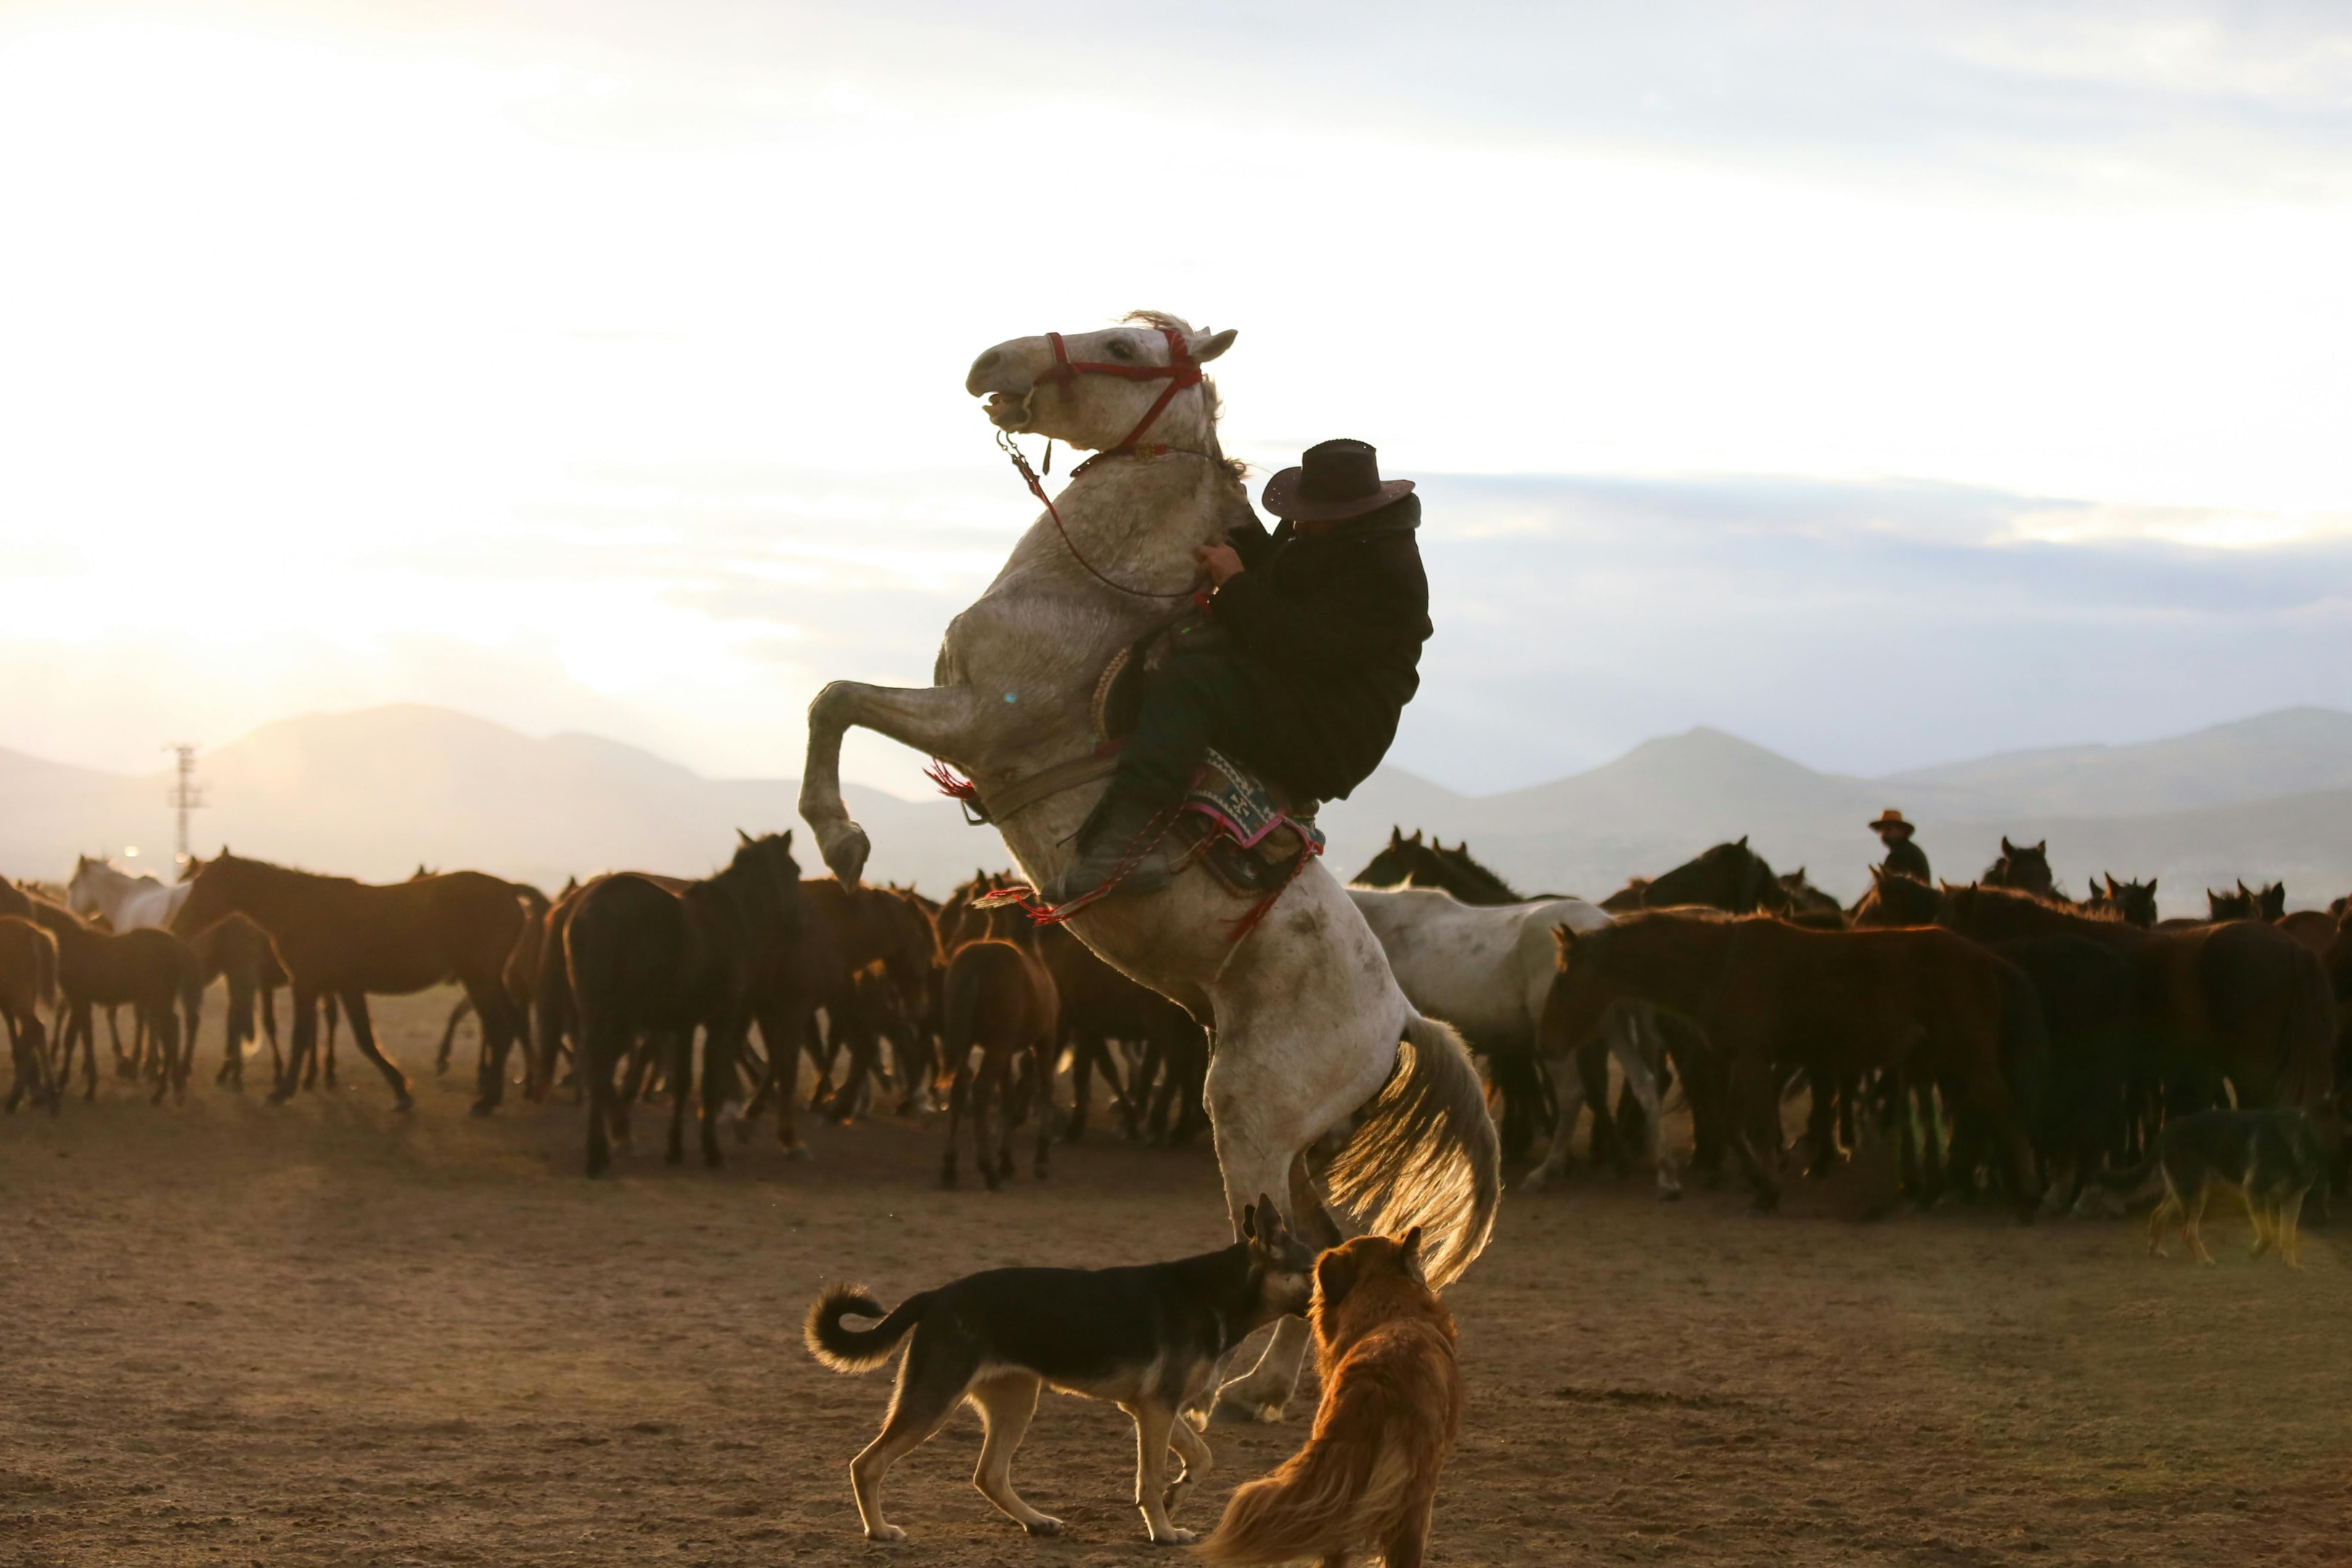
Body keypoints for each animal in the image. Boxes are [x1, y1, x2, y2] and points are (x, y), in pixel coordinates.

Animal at [174, 851, 532, 1113]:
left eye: (202, 886)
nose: (177, 927)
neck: (302, 909)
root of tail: (510, 889)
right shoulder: (345, 987)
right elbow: (363, 1039)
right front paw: (401, 1090)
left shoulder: (308, 984)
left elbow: (305, 1037)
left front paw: (283, 1090)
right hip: (486, 980)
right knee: (510, 1024)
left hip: (480, 979)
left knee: (502, 1027)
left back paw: (489, 1099)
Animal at [796, 312, 1498, 1422]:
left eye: (1127, 349)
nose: (989, 363)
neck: (1081, 597)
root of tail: (1400, 1017)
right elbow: (833, 700)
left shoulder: (973, 724)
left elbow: (833, 699)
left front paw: (840, 838)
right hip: (1294, 1139)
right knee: (1330, 1245)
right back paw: (1266, 1391)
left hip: (1247, 1117)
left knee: (1289, 1249)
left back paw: (1233, 1389)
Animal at [1548, 911, 2047, 1217]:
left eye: (1565, 975)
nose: (1548, 1038)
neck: (1718, 966)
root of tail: (1984, 957)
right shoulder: (1739, 1057)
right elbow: (1733, 1122)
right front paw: (1757, 1181)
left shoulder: (1755, 1057)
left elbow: (1759, 1124)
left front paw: (1768, 1193)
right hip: (1932, 1057)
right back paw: (1932, 1192)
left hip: (1970, 1054)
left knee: (2002, 1109)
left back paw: (2026, 1196)